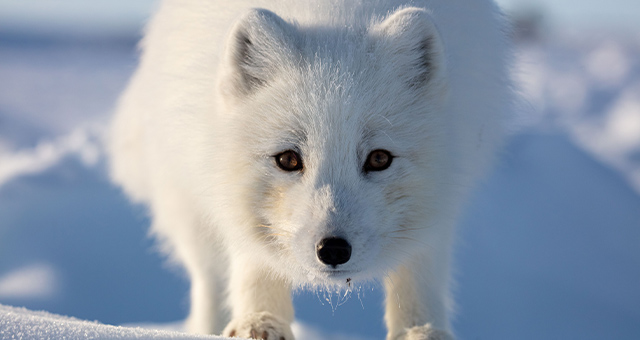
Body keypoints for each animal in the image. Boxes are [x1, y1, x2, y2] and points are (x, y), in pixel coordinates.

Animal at [107, 0, 512, 338]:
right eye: (288, 159)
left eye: (379, 159)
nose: (332, 249)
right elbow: (254, 261)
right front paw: (260, 322)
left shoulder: (445, 197)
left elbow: (419, 268)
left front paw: (419, 330)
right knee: (209, 281)